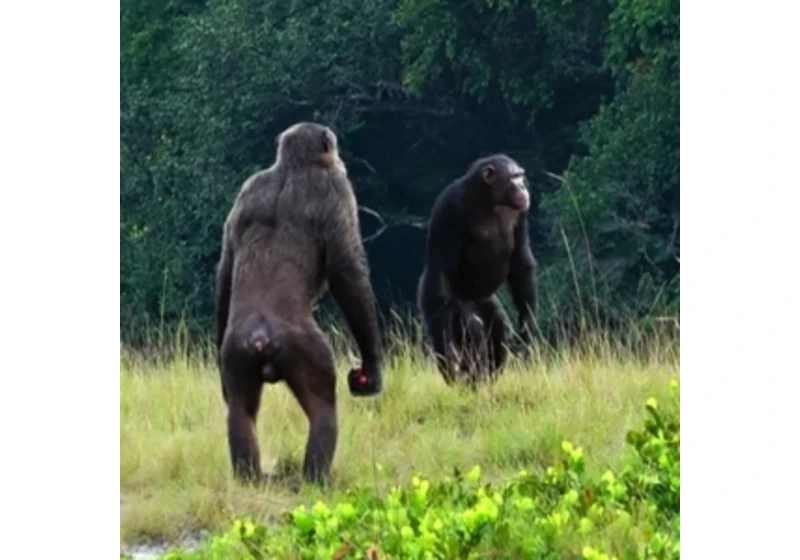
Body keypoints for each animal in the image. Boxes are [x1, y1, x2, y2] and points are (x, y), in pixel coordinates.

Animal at [216, 122, 384, 486]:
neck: (292, 168)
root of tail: (261, 336)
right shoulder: (338, 189)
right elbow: (347, 271)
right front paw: (374, 368)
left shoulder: (246, 191)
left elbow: (225, 266)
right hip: (305, 348)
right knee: (323, 408)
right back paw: (317, 478)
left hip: (236, 352)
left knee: (240, 411)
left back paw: (250, 477)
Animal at [418, 155, 536, 388]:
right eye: (513, 177)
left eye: (520, 176)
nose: (522, 186)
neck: (490, 200)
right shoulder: (448, 208)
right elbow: (440, 271)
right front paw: (449, 358)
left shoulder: (521, 213)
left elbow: (520, 262)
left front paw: (527, 328)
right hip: (457, 305)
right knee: (472, 327)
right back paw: (473, 383)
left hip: (487, 301)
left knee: (499, 327)